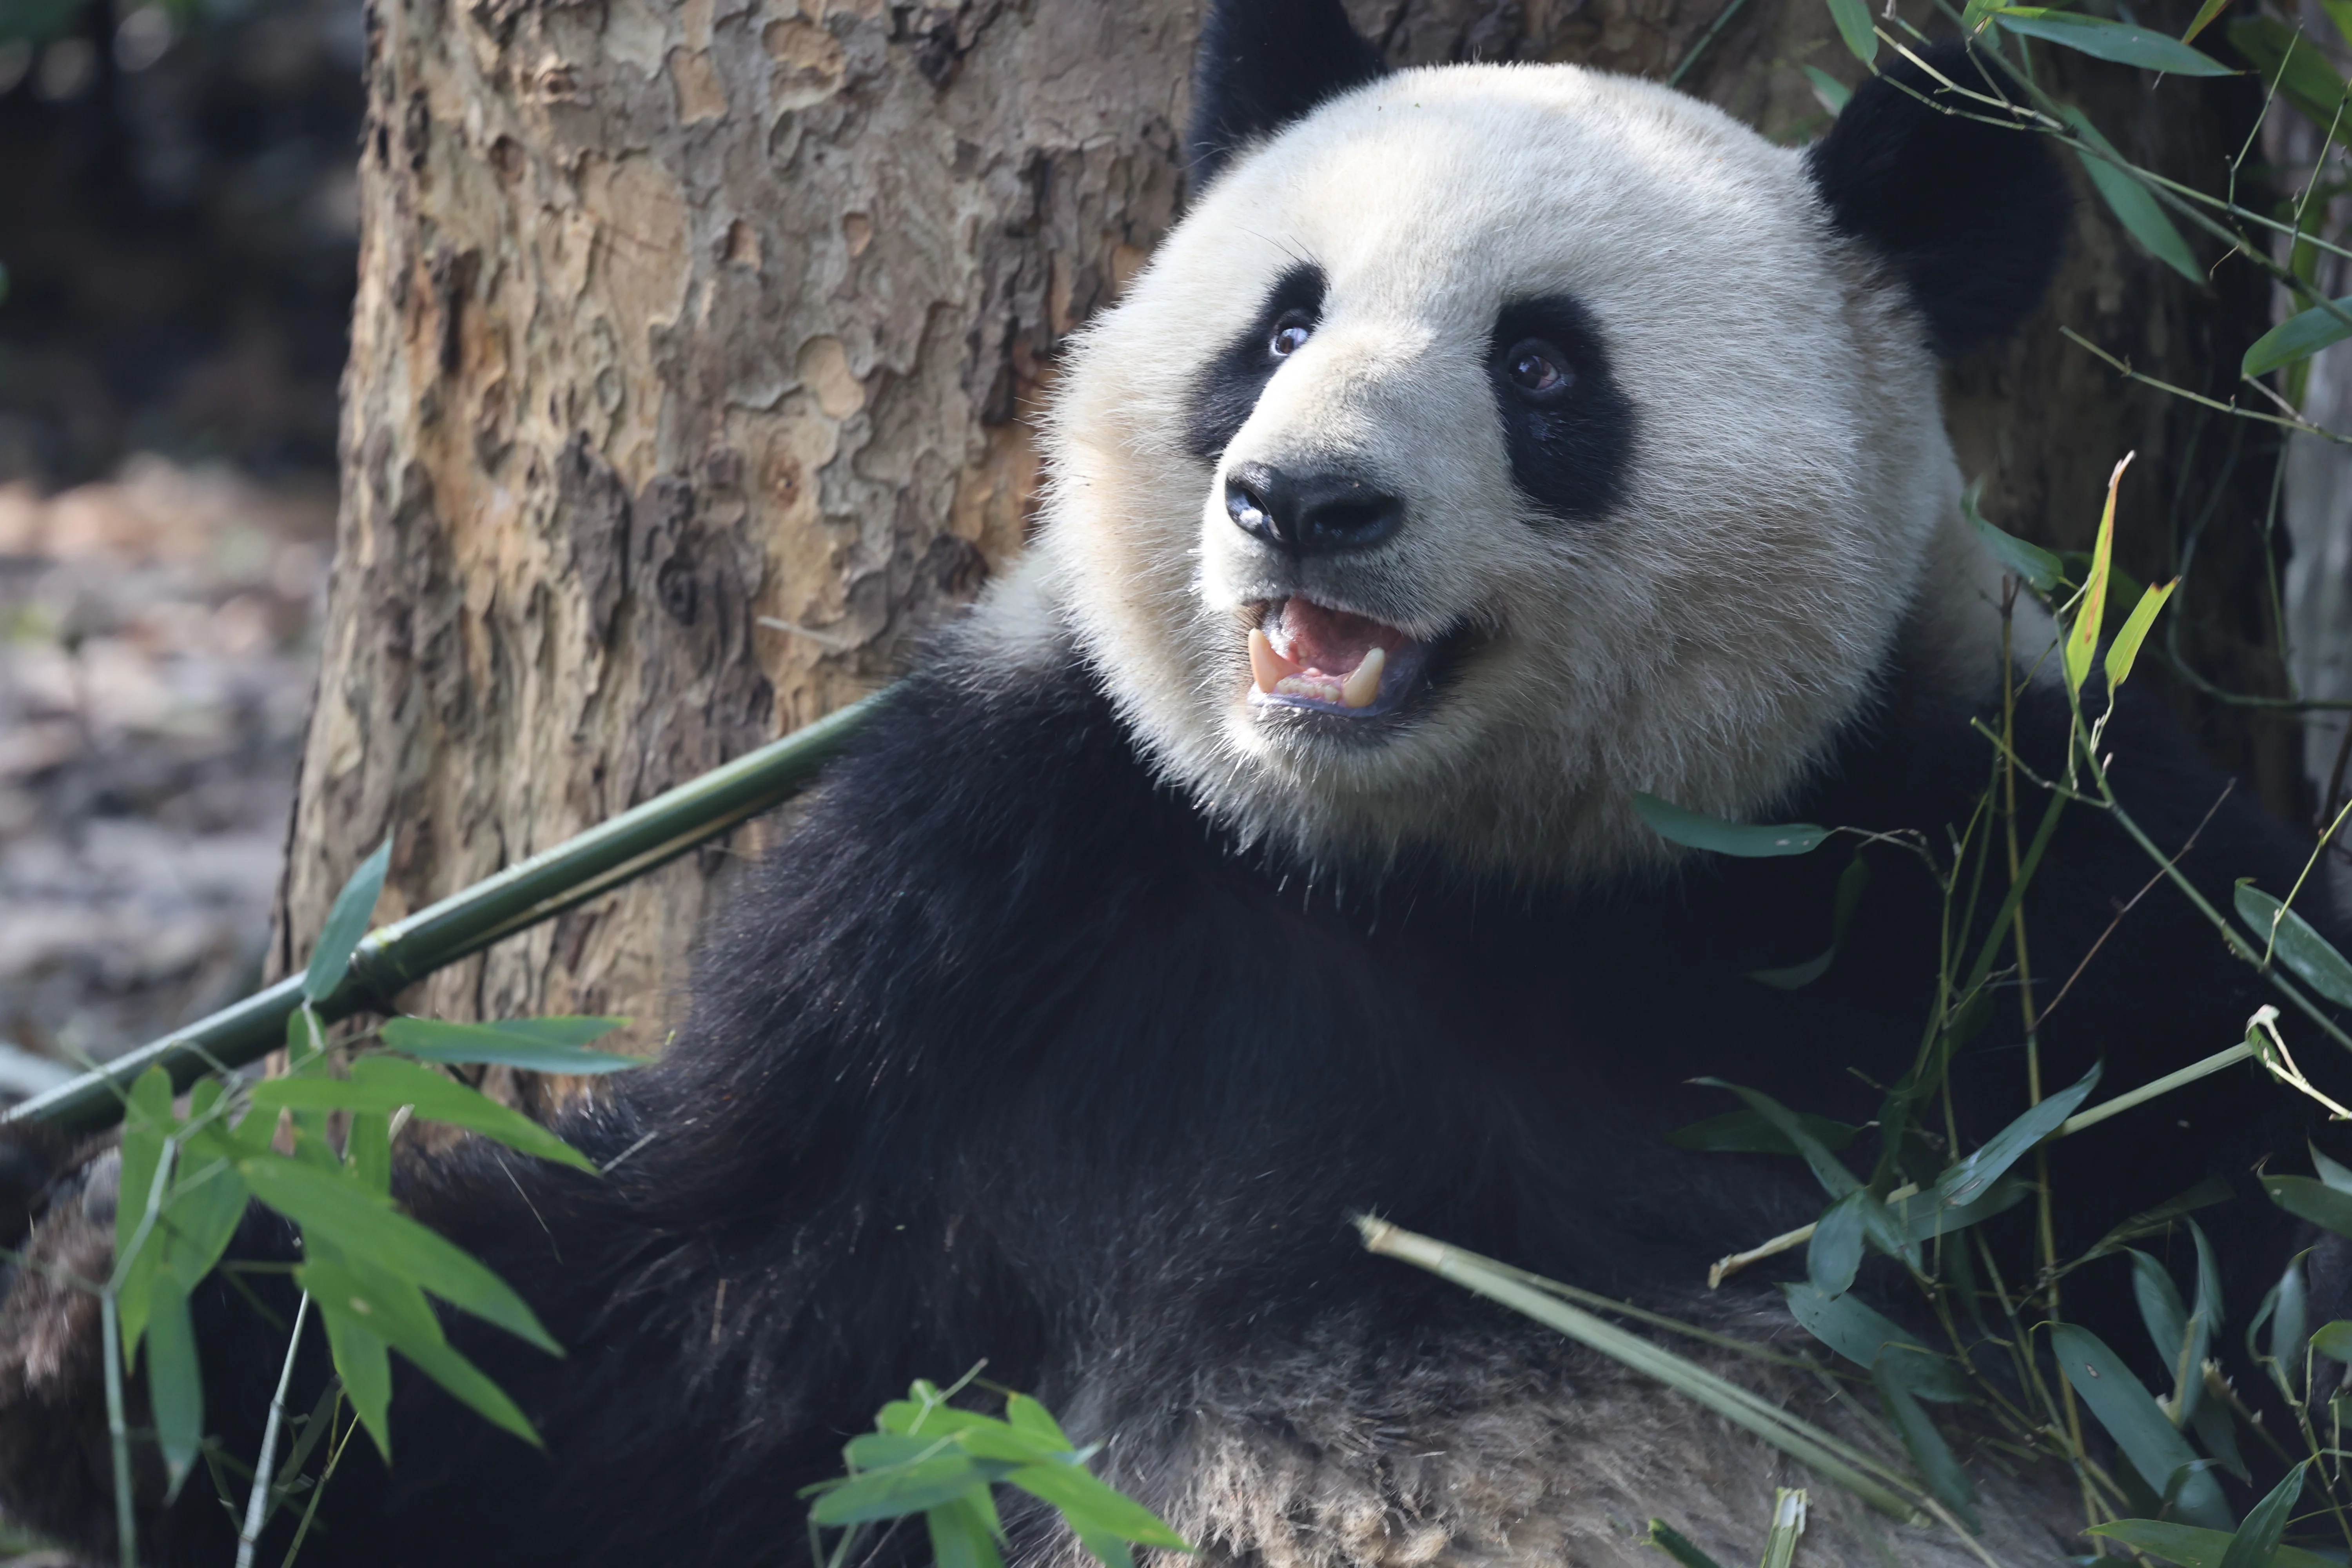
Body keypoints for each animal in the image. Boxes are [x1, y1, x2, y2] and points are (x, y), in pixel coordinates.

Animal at [0, 2, 2341, 1564]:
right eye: (1276, 326)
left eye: (1545, 365)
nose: (1302, 500)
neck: (1455, 883)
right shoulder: (1005, 909)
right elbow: (645, 1330)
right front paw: (100, 1288)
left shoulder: (1988, 891)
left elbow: (2239, 1161)